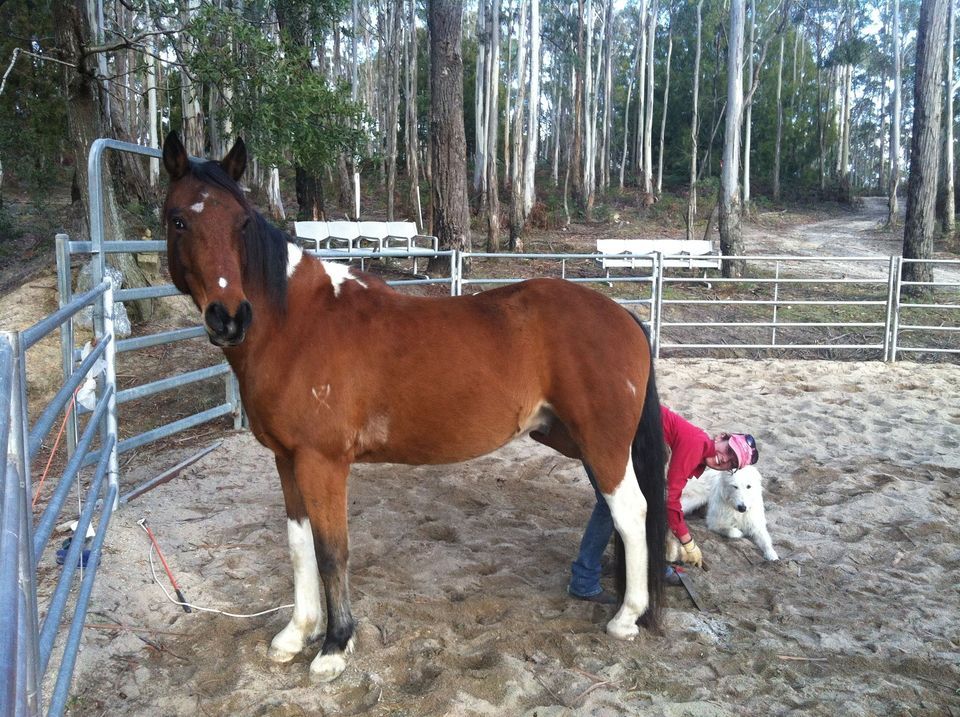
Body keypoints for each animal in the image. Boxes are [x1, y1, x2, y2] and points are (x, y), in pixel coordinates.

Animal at [160, 131, 667, 682]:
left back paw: (626, 618)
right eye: (179, 220)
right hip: (577, 442)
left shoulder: (322, 463)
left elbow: (332, 552)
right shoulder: (287, 460)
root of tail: (624, 316)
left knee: (631, 512)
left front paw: (335, 645)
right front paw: (297, 634)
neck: (297, 324)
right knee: (615, 512)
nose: (230, 318)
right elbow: (299, 548)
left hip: (602, 445)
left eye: (242, 223)